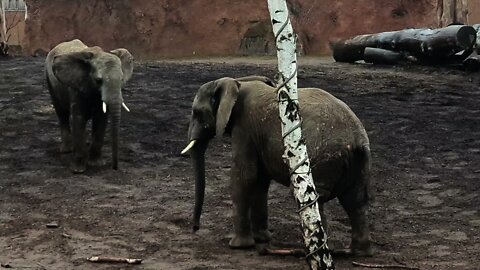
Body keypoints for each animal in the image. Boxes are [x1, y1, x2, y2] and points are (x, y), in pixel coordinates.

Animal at [45, 39, 133, 173]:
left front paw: (97, 164)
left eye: (122, 79)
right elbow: (78, 119)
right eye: (98, 80)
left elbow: (101, 120)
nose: (115, 168)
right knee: (62, 114)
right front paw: (78, 170)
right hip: (49, 81)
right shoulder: (76, 87)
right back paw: (66, 150)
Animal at [182, 75, 374, 255]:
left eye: (196, 112)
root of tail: (355, 139)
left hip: (321, 158)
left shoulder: (244, 128)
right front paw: (261, 239)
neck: (237, 82)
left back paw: (317, 251)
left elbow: (244, 176)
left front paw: (238, 246)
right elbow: (260, 180)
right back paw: (359, 251)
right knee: (356, 200)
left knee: (314, 198)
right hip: (359, 161)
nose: (195, 228)